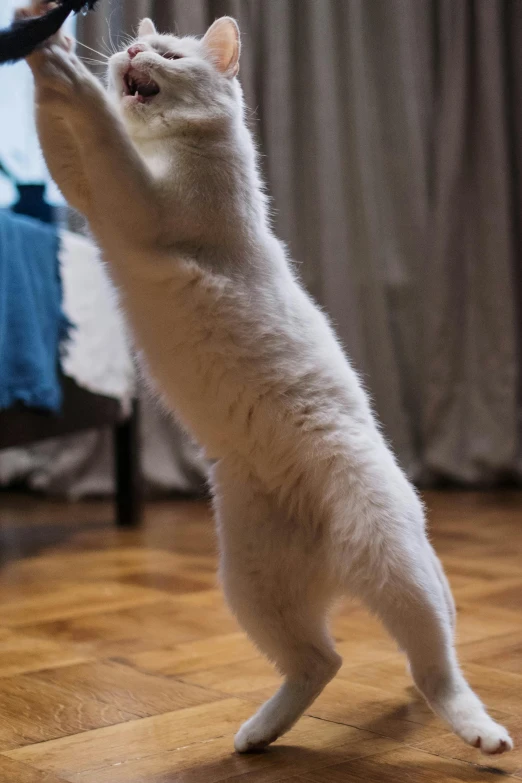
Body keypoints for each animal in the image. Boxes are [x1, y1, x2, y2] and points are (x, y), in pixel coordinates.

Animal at [23, 6, 508, 752]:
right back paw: (258, 733)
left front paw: (64, 63)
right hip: (253, 585)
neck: (167, 148)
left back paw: (478, 730)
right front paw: (43, 43)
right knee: (322, 660)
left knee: (436, 665)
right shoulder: (91, 192)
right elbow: (61, 137)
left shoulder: (140, 204)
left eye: (168, 54)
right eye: (140, 45)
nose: (129, 53)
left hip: (393, 561)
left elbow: (99, 131)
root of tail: (334, 561)